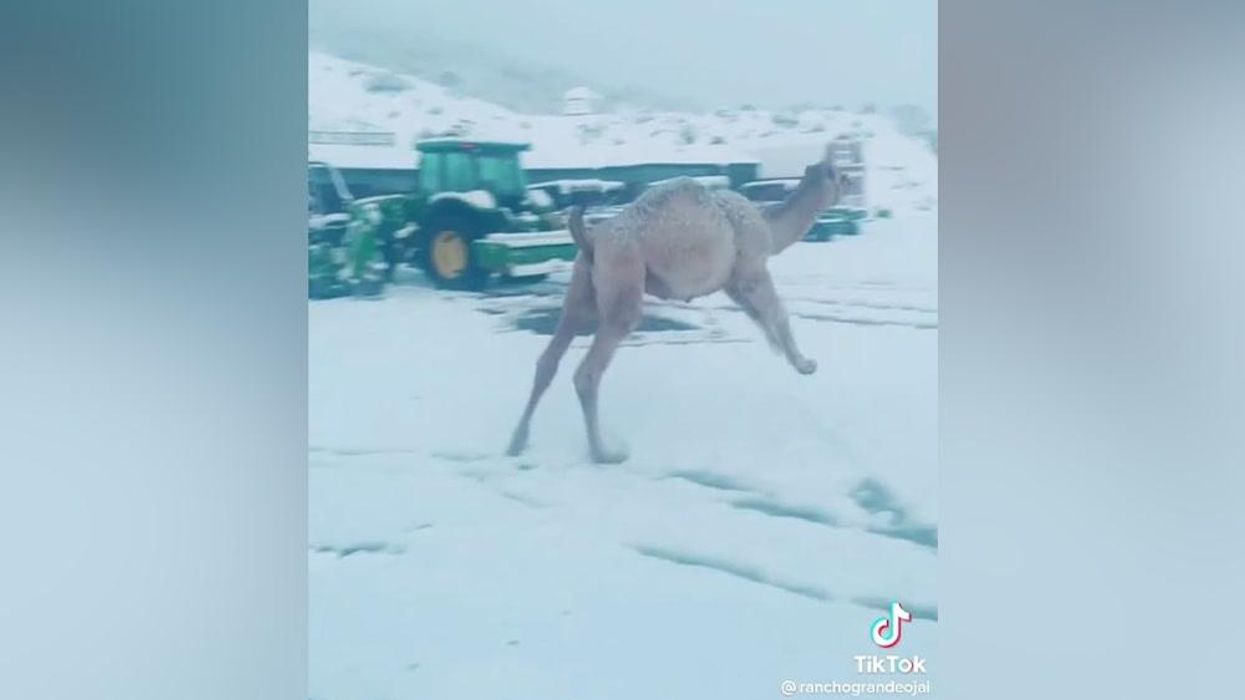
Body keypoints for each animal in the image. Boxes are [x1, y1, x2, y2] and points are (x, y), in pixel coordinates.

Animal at [507, 145, 844, 463]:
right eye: (841, 173)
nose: (850, 183)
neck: (769, 226)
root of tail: (591, 239)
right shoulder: (752, 267)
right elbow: (778, 311)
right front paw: (806, 364)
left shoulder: (732, 280)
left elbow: (759, 315)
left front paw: (780, 350)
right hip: (624, 276)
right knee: (589, 371)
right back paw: (605, 453)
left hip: (581, 286)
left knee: (549, 358)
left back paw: (517, 443)